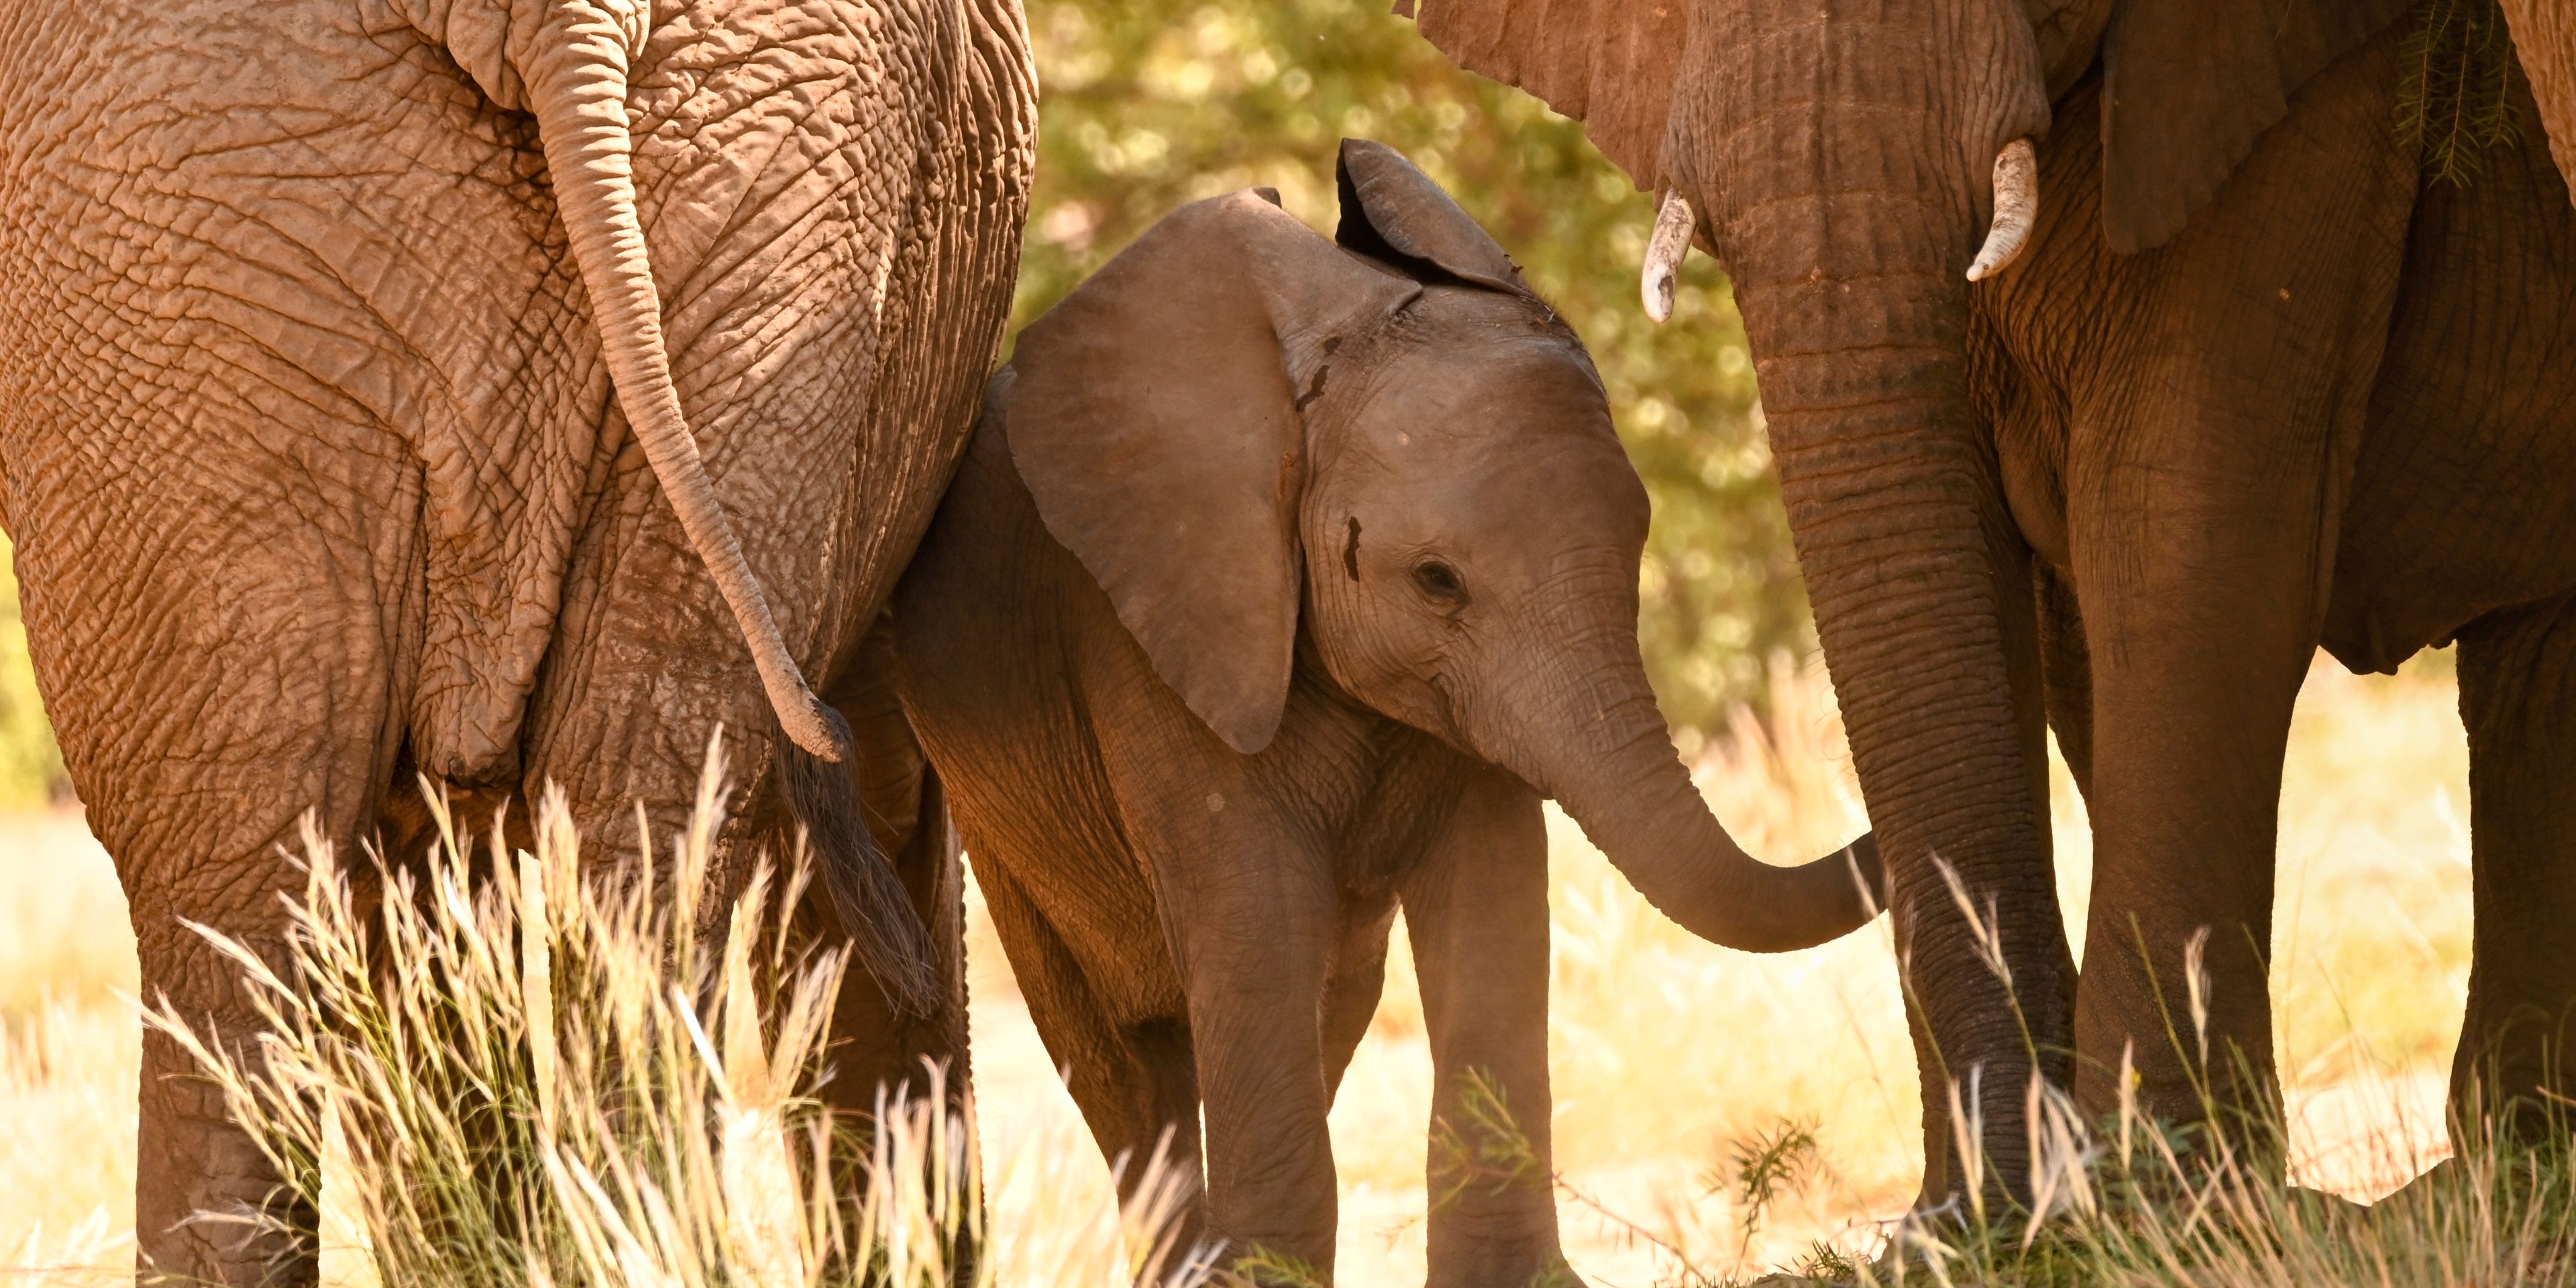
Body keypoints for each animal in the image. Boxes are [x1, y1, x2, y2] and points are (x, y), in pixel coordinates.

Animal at [884, 140, 1881, 1284]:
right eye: (1438, 582)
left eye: (1636, 541)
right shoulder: (1161, 622)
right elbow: (1255, 916)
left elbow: (1491, 897)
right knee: (1120, 1055)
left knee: (1323, 1009)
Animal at [1405, 0, 2576, 1209]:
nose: (2011, 1194)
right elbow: (1968, 549)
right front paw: (1997, 1218)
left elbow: (2182, 529)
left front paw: (2156, 1201)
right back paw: (2505, 1162)